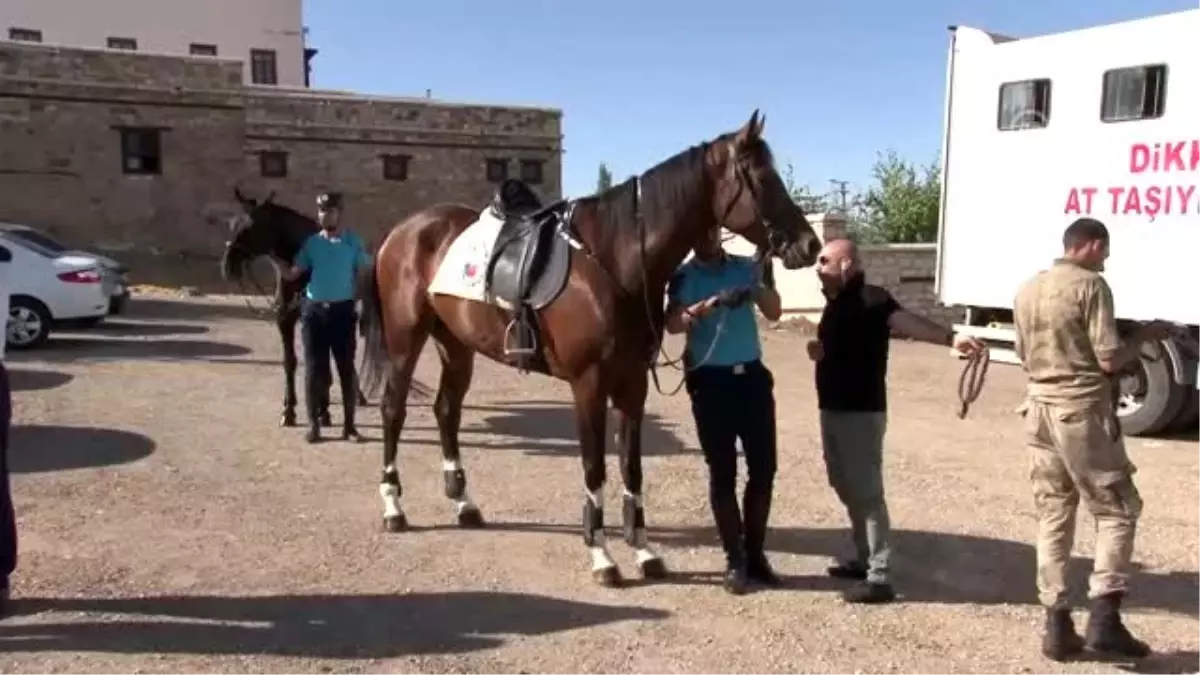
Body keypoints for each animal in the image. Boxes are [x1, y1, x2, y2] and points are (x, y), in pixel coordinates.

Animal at [220, 186, 367, 422]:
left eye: (251, 227)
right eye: (232, 224)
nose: (227, 267)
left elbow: (323, 363)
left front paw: (323, 410)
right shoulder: (285, 318)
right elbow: (291, 361)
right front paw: (289, 409)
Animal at [357, 110, 825, 583]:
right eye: (761, 178)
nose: (811, 244)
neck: (612, 261)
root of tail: (402, 230)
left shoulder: (633, 383)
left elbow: (630, 466)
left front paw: (644, 550)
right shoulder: (588, 385)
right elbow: (594, 465)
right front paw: (602, 554)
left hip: (456, 345)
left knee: (446, 411)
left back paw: (463, 504)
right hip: (405, 339)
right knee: (394, 409)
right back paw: (393, 507)